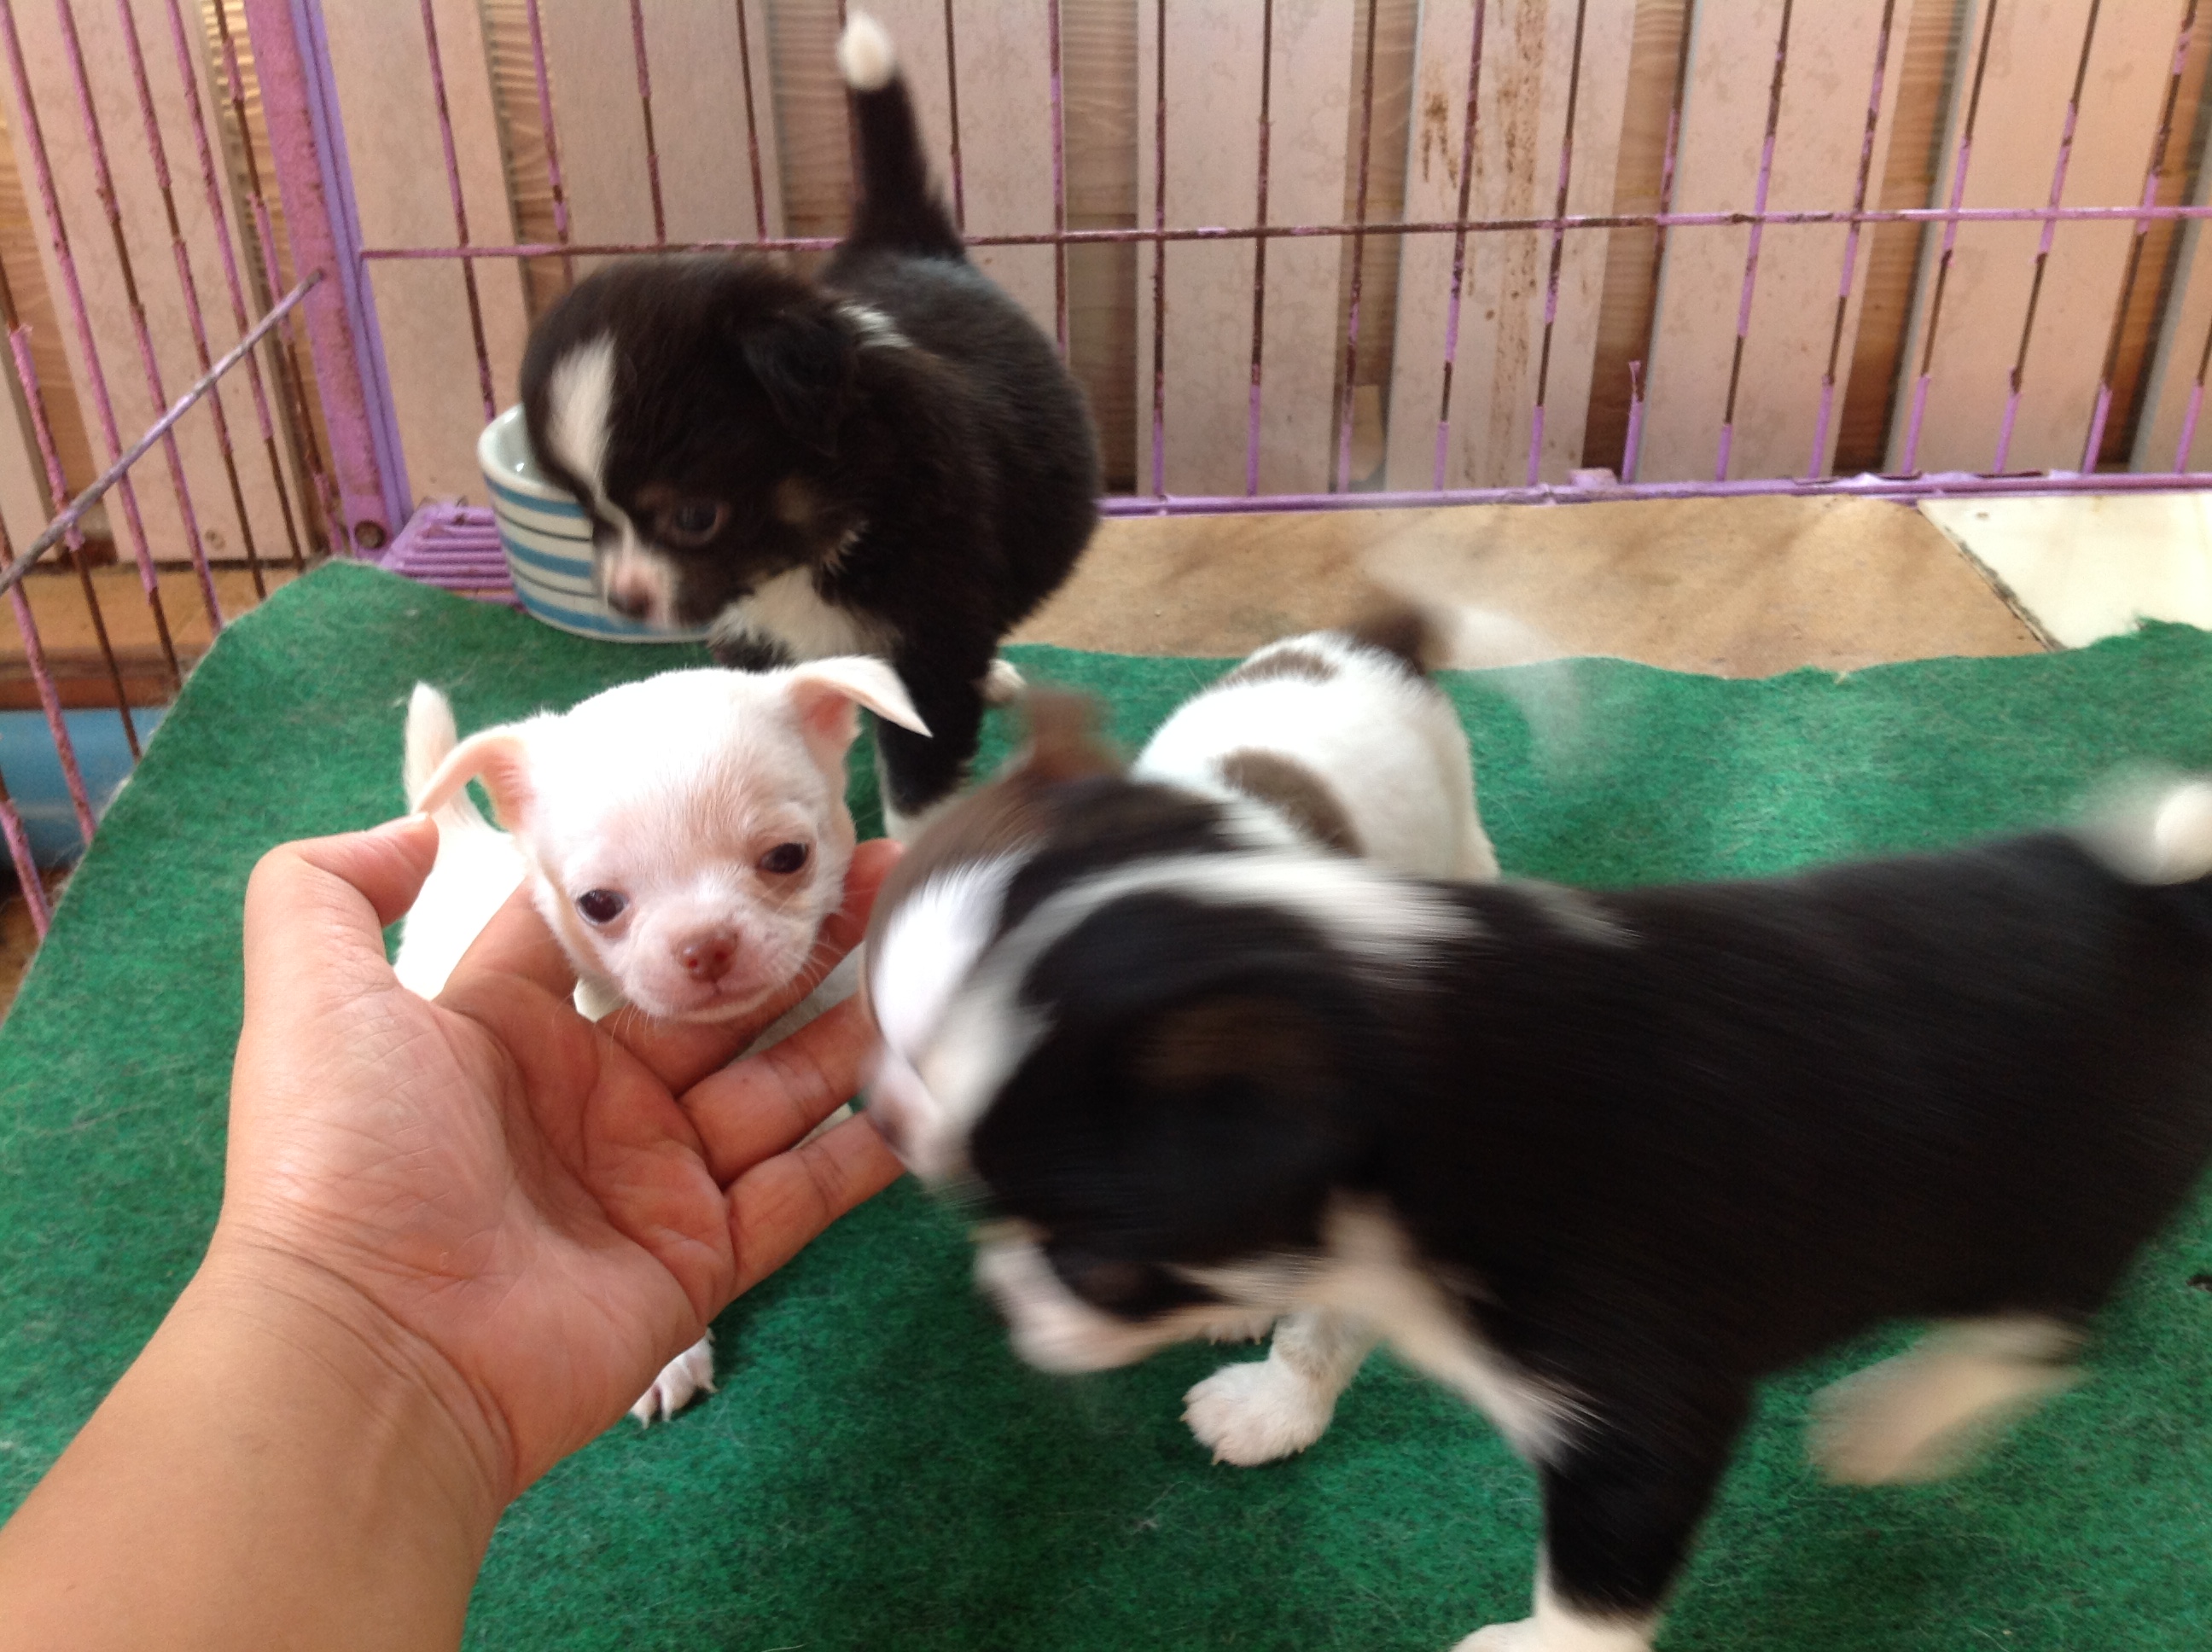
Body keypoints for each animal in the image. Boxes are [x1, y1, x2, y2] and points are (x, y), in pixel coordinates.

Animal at [517, 10, 1100, 838]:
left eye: (695, 517)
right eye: (582, 513)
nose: (625, 601)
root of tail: (907, 243)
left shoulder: (924, 646)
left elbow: (917, 788)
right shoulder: (758, 637)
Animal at [860, 702, 2212, 1651]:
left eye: (1087, 1254)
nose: (997, 1300)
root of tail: (2146, 902)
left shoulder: (1642, 1416)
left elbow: (1592, 1588)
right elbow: (1318, 1326)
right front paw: (1274, 1394)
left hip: (2049, 1211)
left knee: (2043, 1330)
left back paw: (1895, 1418)